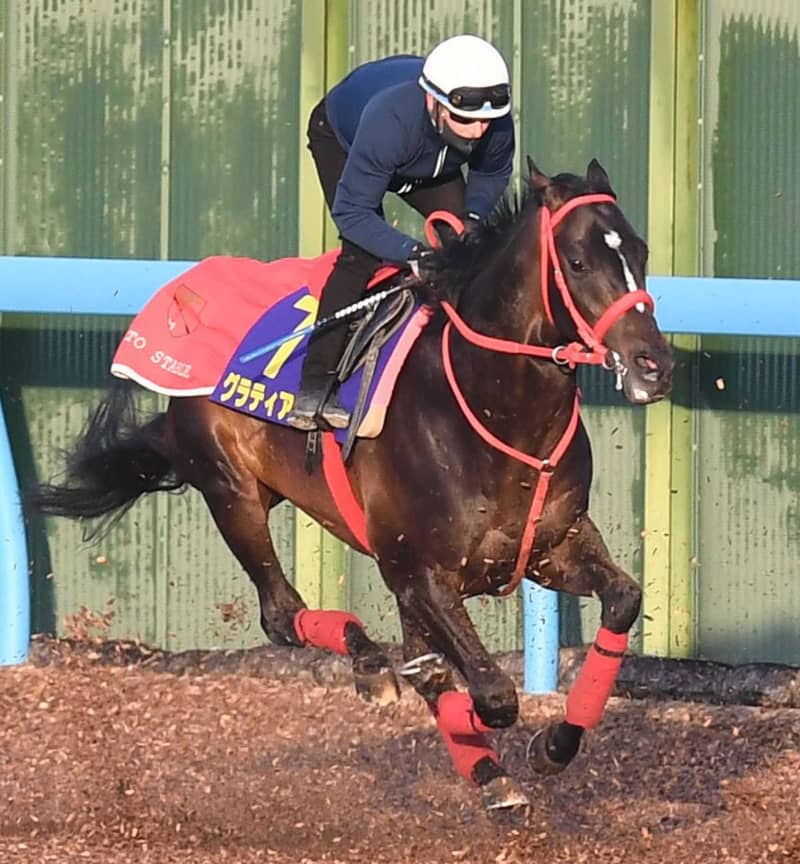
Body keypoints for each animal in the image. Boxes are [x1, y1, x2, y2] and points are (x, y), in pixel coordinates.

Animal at [30, 157, 673, 812]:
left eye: (641, 249)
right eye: (578, 261)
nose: (655, 365)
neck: (488, 407)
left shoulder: (548, 546)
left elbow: (622, 601)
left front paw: (553, 745)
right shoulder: (417, 571)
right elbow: (490, 693)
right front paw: (472, 720)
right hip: (231, 491)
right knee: (281, 615)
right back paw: (372, 666)